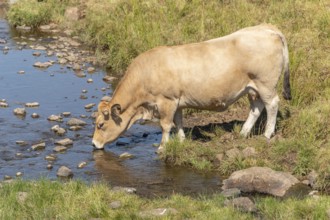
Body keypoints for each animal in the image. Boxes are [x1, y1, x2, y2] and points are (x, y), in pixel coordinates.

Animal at [93, 23, 292, 152]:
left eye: (101, 124)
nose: (94, 144)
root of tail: (267, 28)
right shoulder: (178, 101)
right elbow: (178, 121)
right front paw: (181, 140)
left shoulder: (166, 101)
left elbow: (165, 125)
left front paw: (162, 147)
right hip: (252, 88)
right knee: (256, 108)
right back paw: (243, 133)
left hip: (265, 84)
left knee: (272, 104)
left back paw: (267, 134)